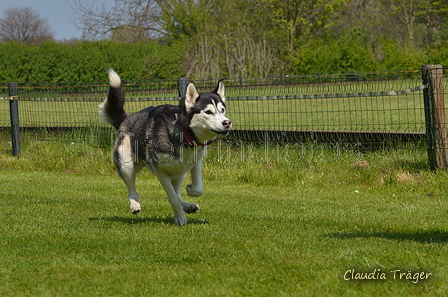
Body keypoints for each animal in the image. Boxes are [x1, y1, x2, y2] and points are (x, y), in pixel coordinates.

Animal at [100, 68, 233, 223]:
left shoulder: (196, 162)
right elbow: (173, 198)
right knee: (132, 188)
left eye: (222, 110)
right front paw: (180, 218)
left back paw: (188, 206)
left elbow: (197, 189)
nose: (227, 122)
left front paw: (189, 190)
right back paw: (135, 204)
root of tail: (125, 120)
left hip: (180, 172)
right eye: (208, 112)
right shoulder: (159, 170)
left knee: (177, 191)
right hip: (126, 164)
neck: (183, 134)